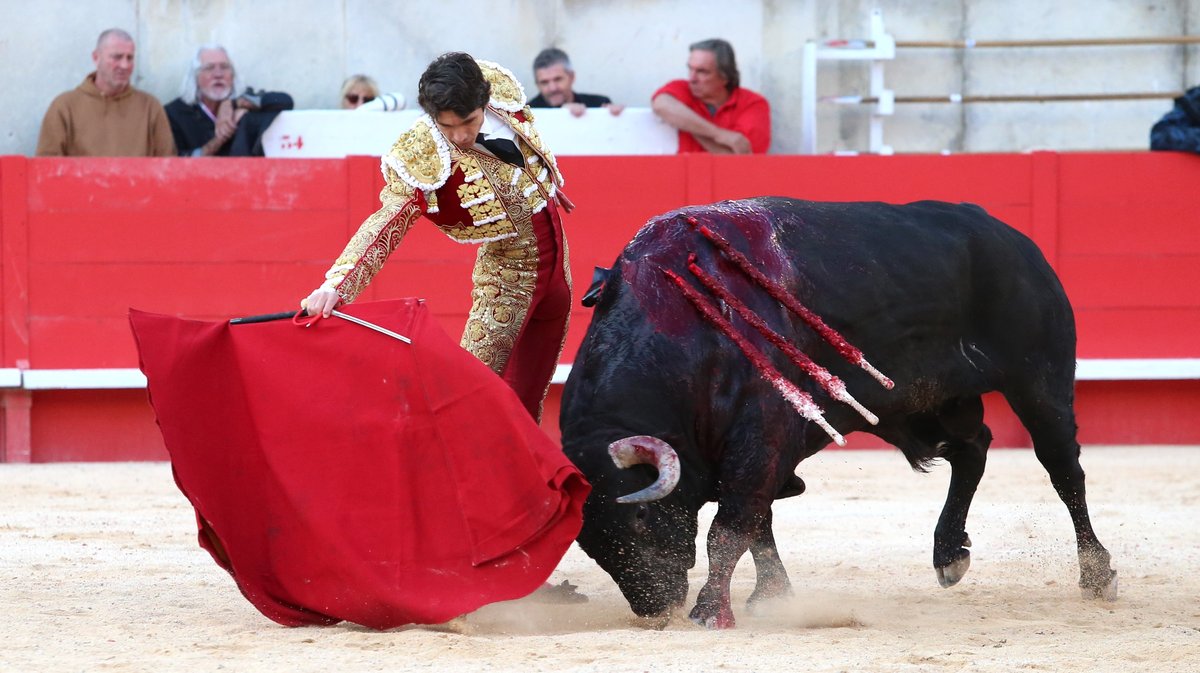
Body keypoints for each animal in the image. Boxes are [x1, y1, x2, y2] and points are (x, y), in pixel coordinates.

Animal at [556, 196, 1118, 628]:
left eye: (642, 519)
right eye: (588, 542)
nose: (654, 608)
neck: (680, 328)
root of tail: (1011, 237)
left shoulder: (759, 440)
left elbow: (731, 528)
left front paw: (711, 611)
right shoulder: (761, 452)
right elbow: (759, 525)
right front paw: (773, 597)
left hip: (1039, 380)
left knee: (1063, 469)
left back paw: (1096, 574)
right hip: (924, 405)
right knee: (972, 450)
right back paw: (949, 553)